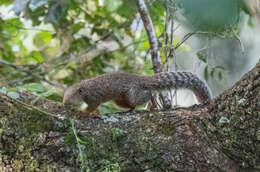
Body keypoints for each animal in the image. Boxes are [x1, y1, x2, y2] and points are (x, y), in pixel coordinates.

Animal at [62, 71, 211, 117]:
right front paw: (95, 113)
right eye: (64, 96)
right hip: (121, 100)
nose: (63, 103)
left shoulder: (94, 97)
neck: (84, 89)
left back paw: (153, 104)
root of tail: (140, 79)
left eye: (70, 97)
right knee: (133, 104)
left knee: (148, 95)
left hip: (133, 95)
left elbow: (93, 106)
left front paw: (83, 113)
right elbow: (95, 109)